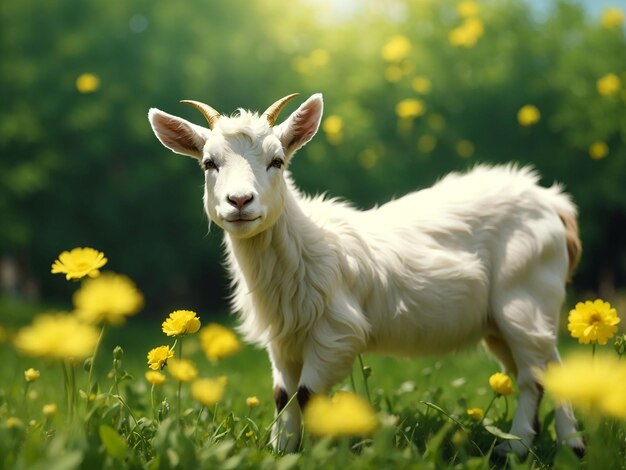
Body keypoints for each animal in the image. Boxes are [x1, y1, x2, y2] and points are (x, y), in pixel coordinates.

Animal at [149, 93, 584, 458]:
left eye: (278, 161)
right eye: (209, 163)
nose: (240, 201)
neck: (305, 244)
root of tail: (553, 202)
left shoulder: (335, 332)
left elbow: (307, 396)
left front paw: (320, 454)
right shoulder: (284, 336)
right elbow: (282, 396)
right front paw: (283, 450)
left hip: (523, 296)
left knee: (532, 377)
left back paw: (517, 448)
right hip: (505, 317)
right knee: (547, 364)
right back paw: (570, 444)